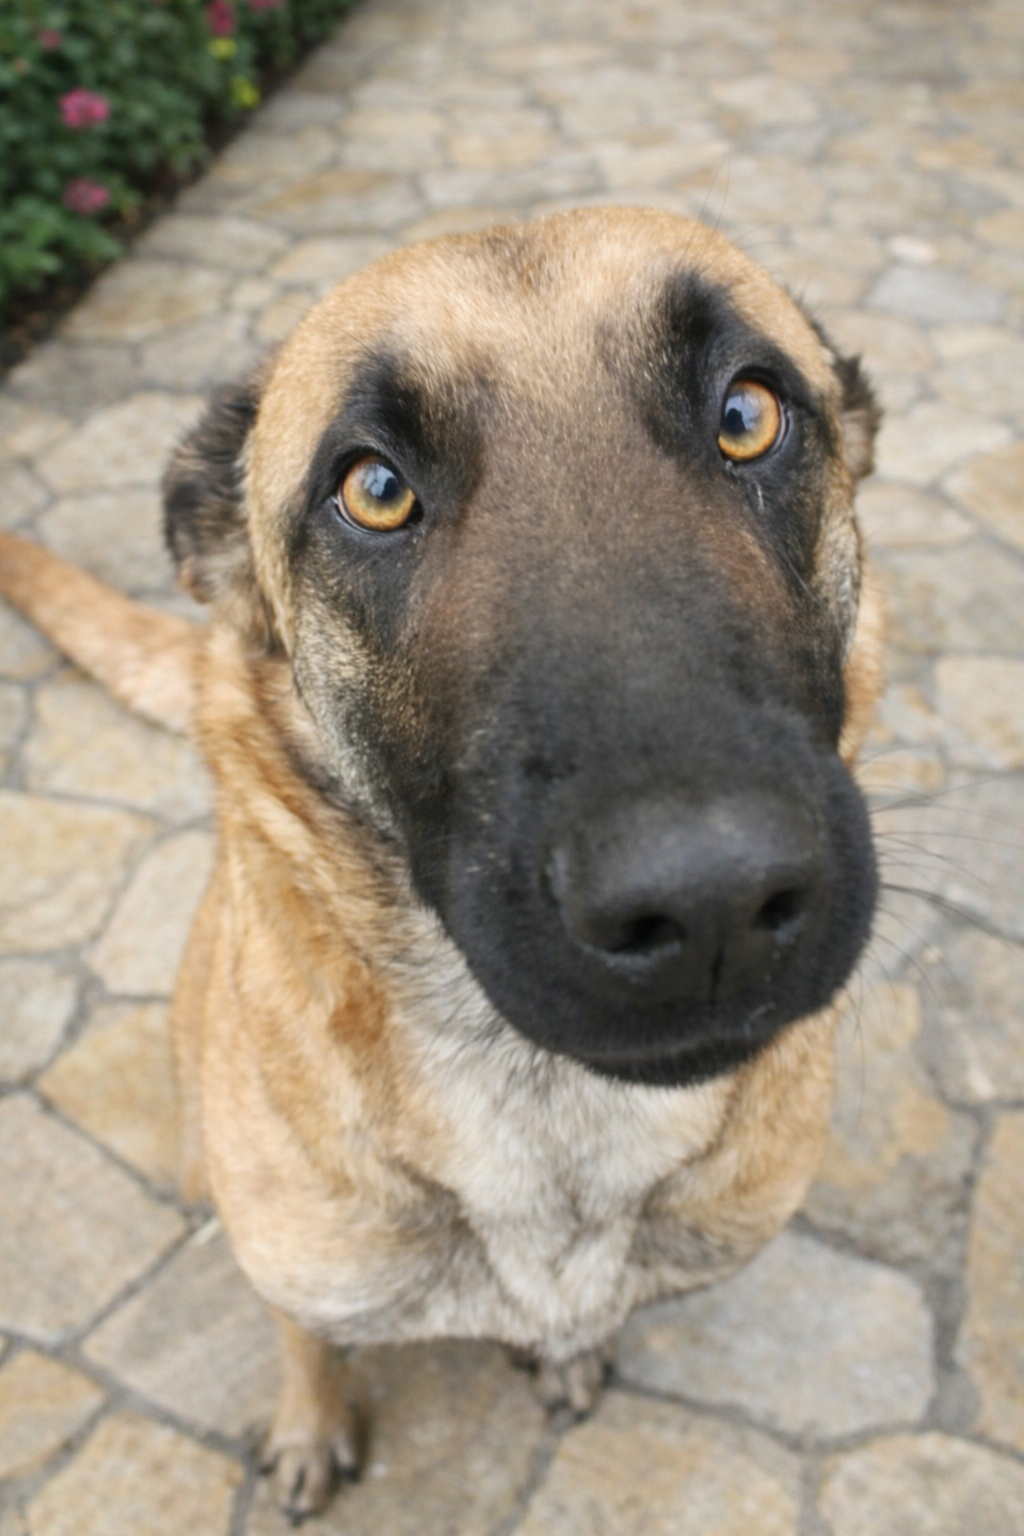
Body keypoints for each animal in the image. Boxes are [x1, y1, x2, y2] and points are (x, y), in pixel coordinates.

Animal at [0, 208, 883, 1519]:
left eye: (747, 412)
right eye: (372, 489)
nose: (710, 898)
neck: (548, 1108)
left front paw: (564, 1352)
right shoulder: (300, 1269)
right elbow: (307, 1339)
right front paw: (311, 1425)